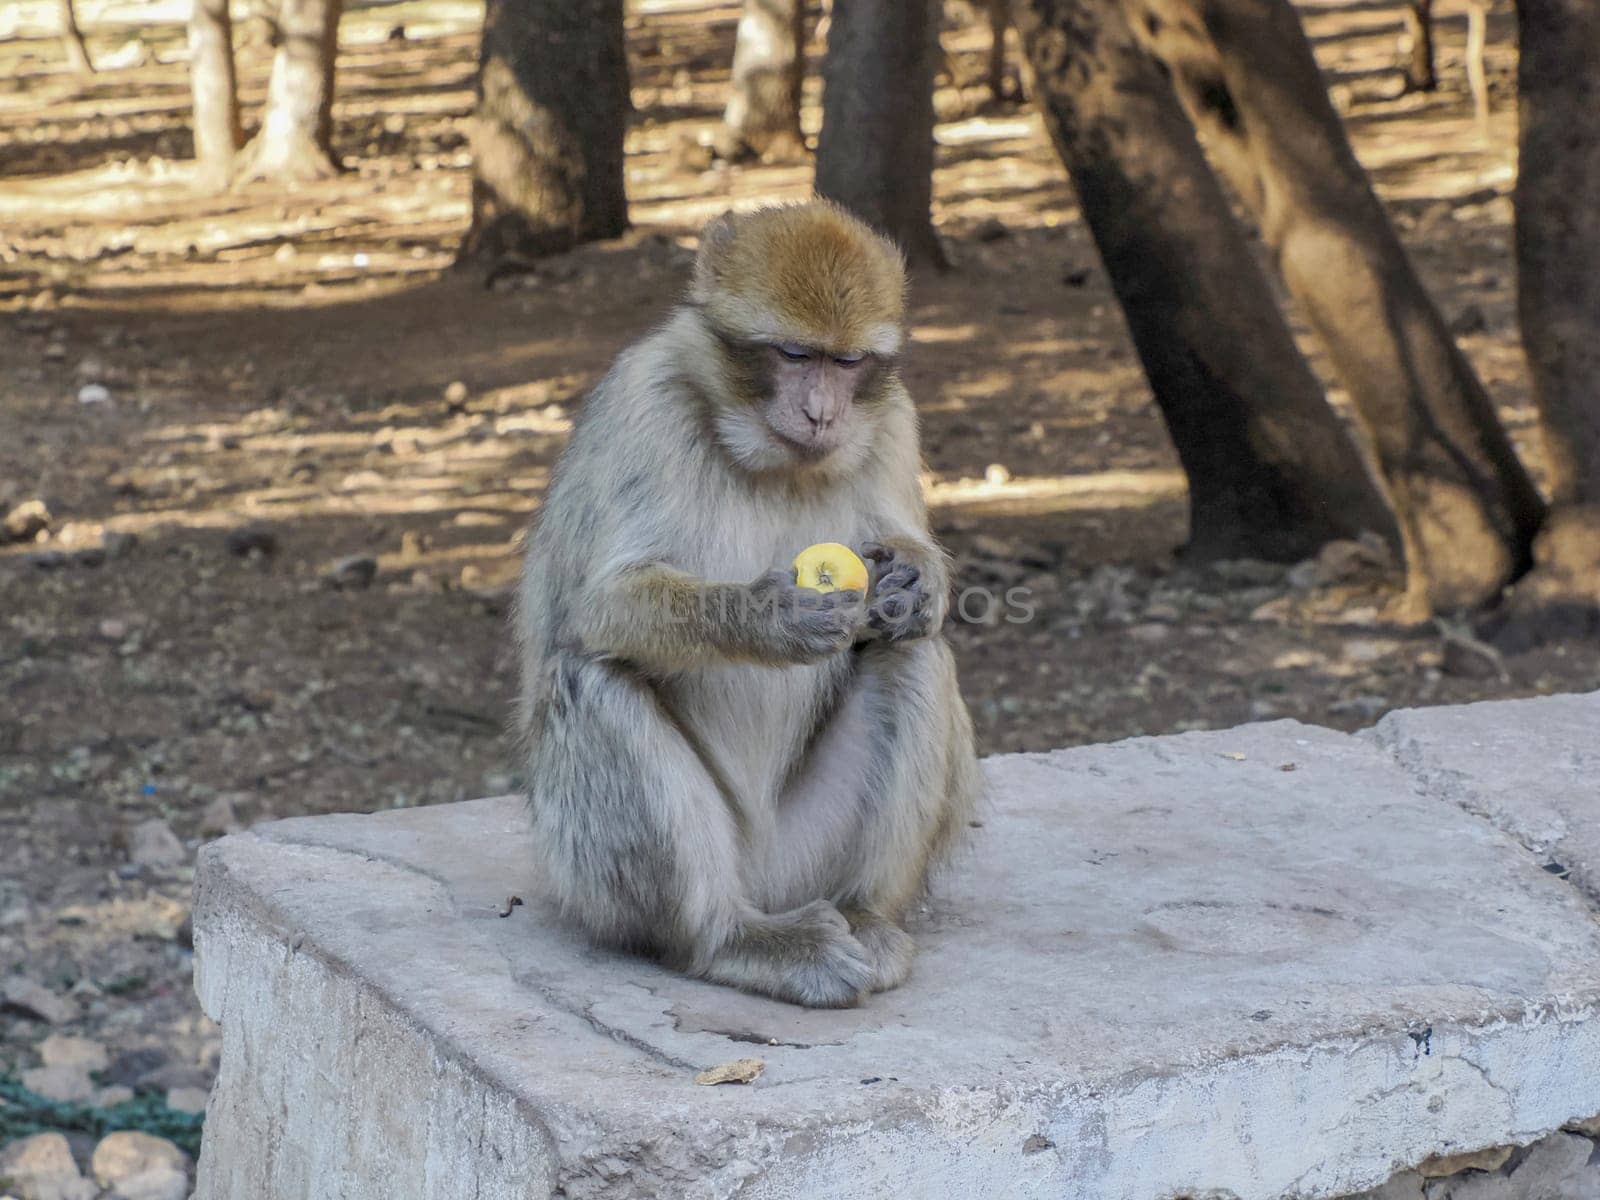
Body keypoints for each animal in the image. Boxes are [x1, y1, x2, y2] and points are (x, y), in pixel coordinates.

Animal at [518, 202, 979, 1011]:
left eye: (847, 363)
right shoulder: (647, 405)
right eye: (795, 355)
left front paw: (917, 582)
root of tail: (762, 882)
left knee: (915, 656)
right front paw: (769, 619)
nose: (822, 413)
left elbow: (909, 587)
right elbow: (601, 608)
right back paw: (729, 940)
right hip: (590, 873)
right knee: (593, 677)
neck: (774, 462)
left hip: (805, 857)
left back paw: (866, 915)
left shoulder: (894, 417)